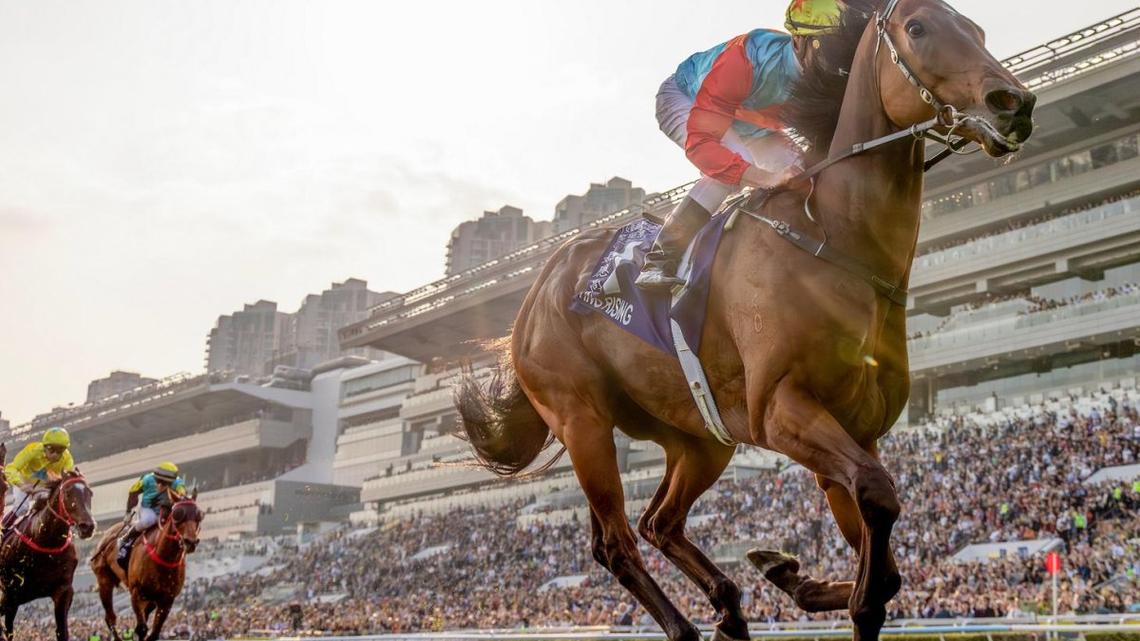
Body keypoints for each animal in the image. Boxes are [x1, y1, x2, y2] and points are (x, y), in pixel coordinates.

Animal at [0, 471, 96, 641]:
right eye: (67, 493)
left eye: (89, 492)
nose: (88, 526)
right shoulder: (11, 594)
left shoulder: (63, 591)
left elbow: (62, 632)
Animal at [90, 497, 204, 641]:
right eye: (178, 514)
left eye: (199, 515)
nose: (190, 542)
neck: (163, 557)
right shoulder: (137, 593)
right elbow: (142, 628)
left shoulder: (167, 599)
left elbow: (153, 633)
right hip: (104, 580)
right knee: (110, 617)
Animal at [455, 1, 1036, 640]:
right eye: (918, 28)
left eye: (978, 29)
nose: (1014, 104)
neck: (833, 239)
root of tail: (533, 296)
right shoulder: (780, 409)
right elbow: (878, 510)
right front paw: (826, 586)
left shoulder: (856, 431)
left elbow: (882, 561)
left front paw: (791, 573)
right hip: (583, 420)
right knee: (616, 542)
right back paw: (687, 625)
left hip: (699, 437)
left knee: (660, 522)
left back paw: (731, 605)